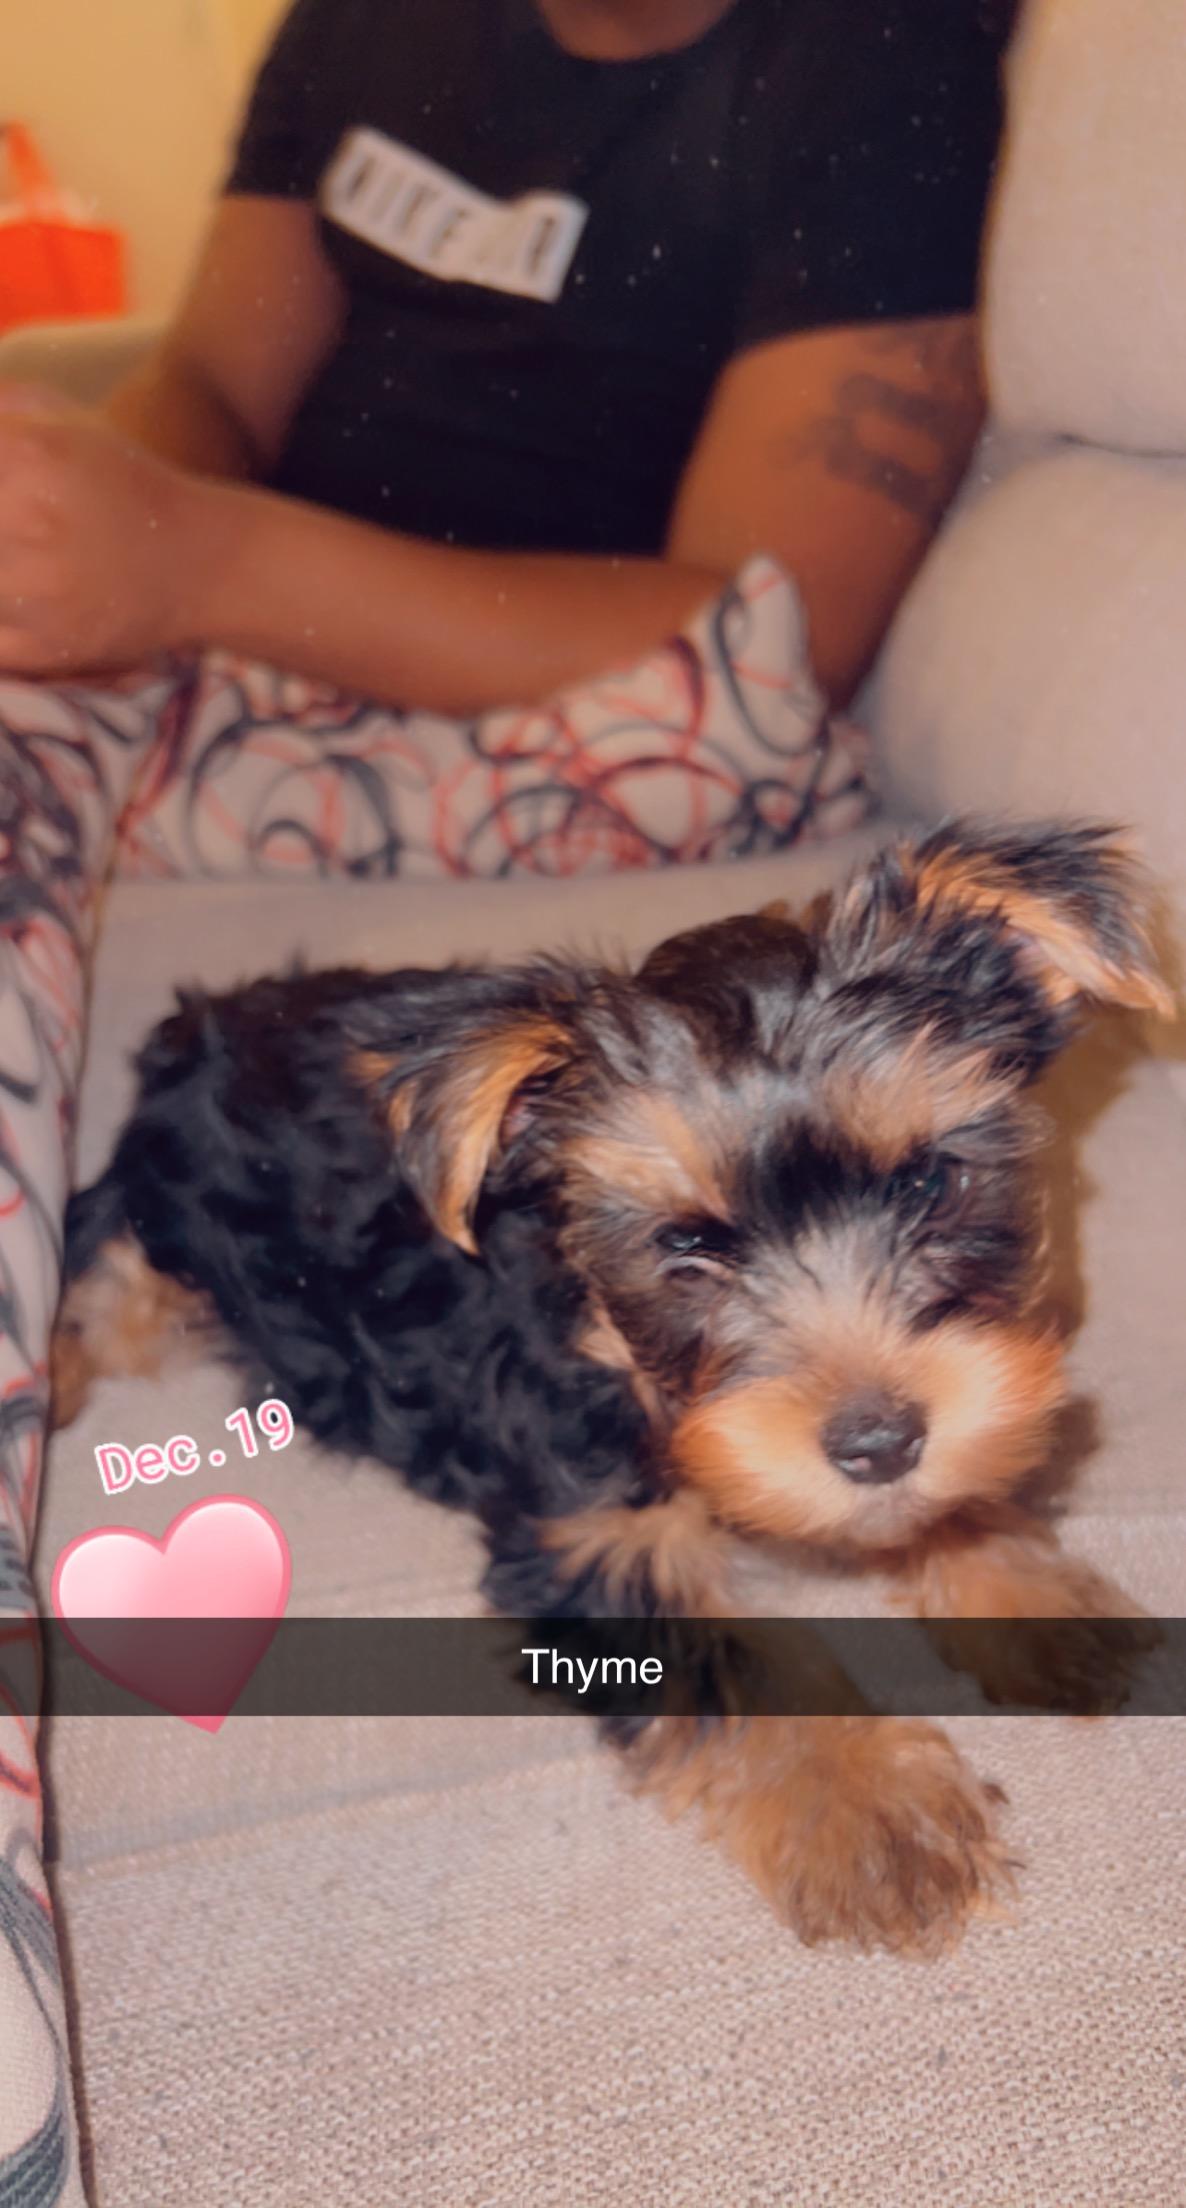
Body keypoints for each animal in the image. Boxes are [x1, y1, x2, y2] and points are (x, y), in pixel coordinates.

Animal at [51, 820, 1173, 1955]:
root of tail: (201, 1025)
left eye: (927, 1180)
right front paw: (877, 1818)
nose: (876, 1442)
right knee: (100, 1265)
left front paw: (1032, 1596)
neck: (601, 1333)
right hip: (163, 1209)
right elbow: (733, 1660)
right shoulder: (592, 1533)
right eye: (685, 1248)